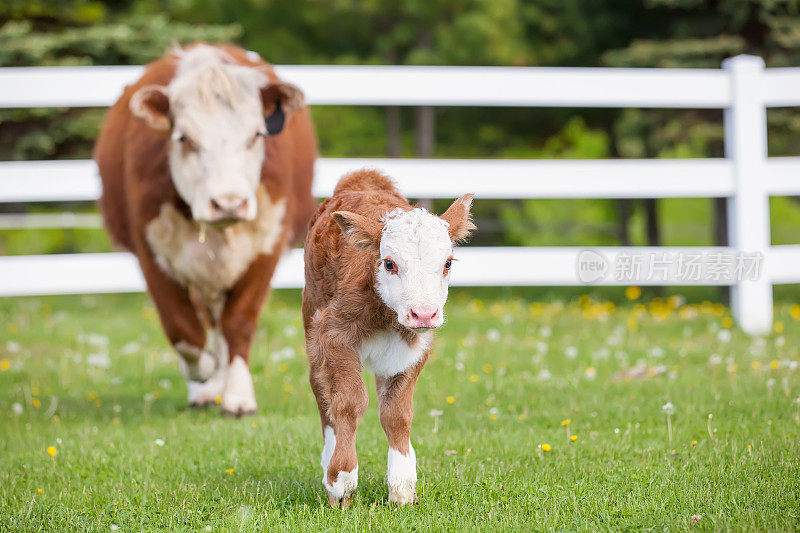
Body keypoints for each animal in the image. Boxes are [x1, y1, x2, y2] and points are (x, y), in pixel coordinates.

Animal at [95, 42, 318, 416]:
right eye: (184, 138)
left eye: (256, 134)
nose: (228, 202)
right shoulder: (150, 251)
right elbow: (183, 329)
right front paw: (204, 374)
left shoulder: (267, 246)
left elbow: (238, 322)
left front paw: (238, 396)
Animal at [302, 168, 476, 504]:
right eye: (389, 263)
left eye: (448, 263)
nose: (424, 313)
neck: (386, 317)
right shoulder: (334, 335)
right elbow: (348, 402)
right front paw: (341, 480)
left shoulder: (416, 346)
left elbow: (397, 412)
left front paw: (403, 487)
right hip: (312, 324)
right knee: (322, 394)